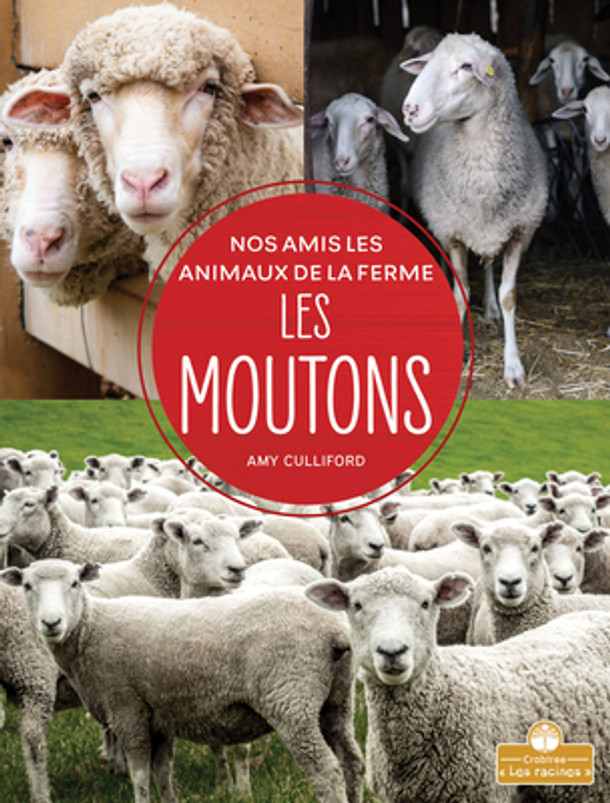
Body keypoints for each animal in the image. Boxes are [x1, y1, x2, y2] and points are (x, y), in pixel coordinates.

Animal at [4, 559, 365, 803]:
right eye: (27, 586)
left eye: (75, 583)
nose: (51, 623)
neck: (91, 629)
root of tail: (334, 632)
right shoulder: (159, 715)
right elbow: (163, 773)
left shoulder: (128, 710)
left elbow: (140, 776)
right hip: (336, 701)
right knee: (352, 762)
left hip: (291, 699)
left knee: (327, 771)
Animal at [403, 33, 549, 387]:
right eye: (427, 63)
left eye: (467, 66)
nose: (410, 109)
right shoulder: (453, 233)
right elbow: (461, 293)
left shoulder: (519, 232)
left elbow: (509, 295)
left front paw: (513, 366)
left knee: (488, 263)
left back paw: (491, 309)